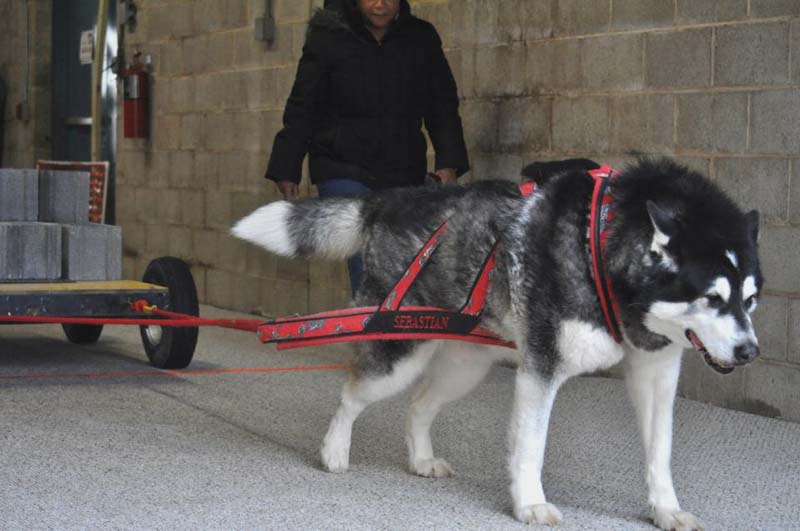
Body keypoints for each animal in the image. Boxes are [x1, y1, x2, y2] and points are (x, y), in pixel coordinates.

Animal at [231, 159, 764, 531]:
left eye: (752, 299)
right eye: (712, 297)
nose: (750, 353)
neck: (603, 245)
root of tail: (390, 199)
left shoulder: (657, 372)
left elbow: (660, 451)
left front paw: (665, 509)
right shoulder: (541, 370)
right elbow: (530, 447)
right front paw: (529, 503)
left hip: (463, 366)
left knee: (418, 404)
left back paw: (420, 458)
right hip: (398, 351)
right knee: (351, 394)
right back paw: (334, 450)